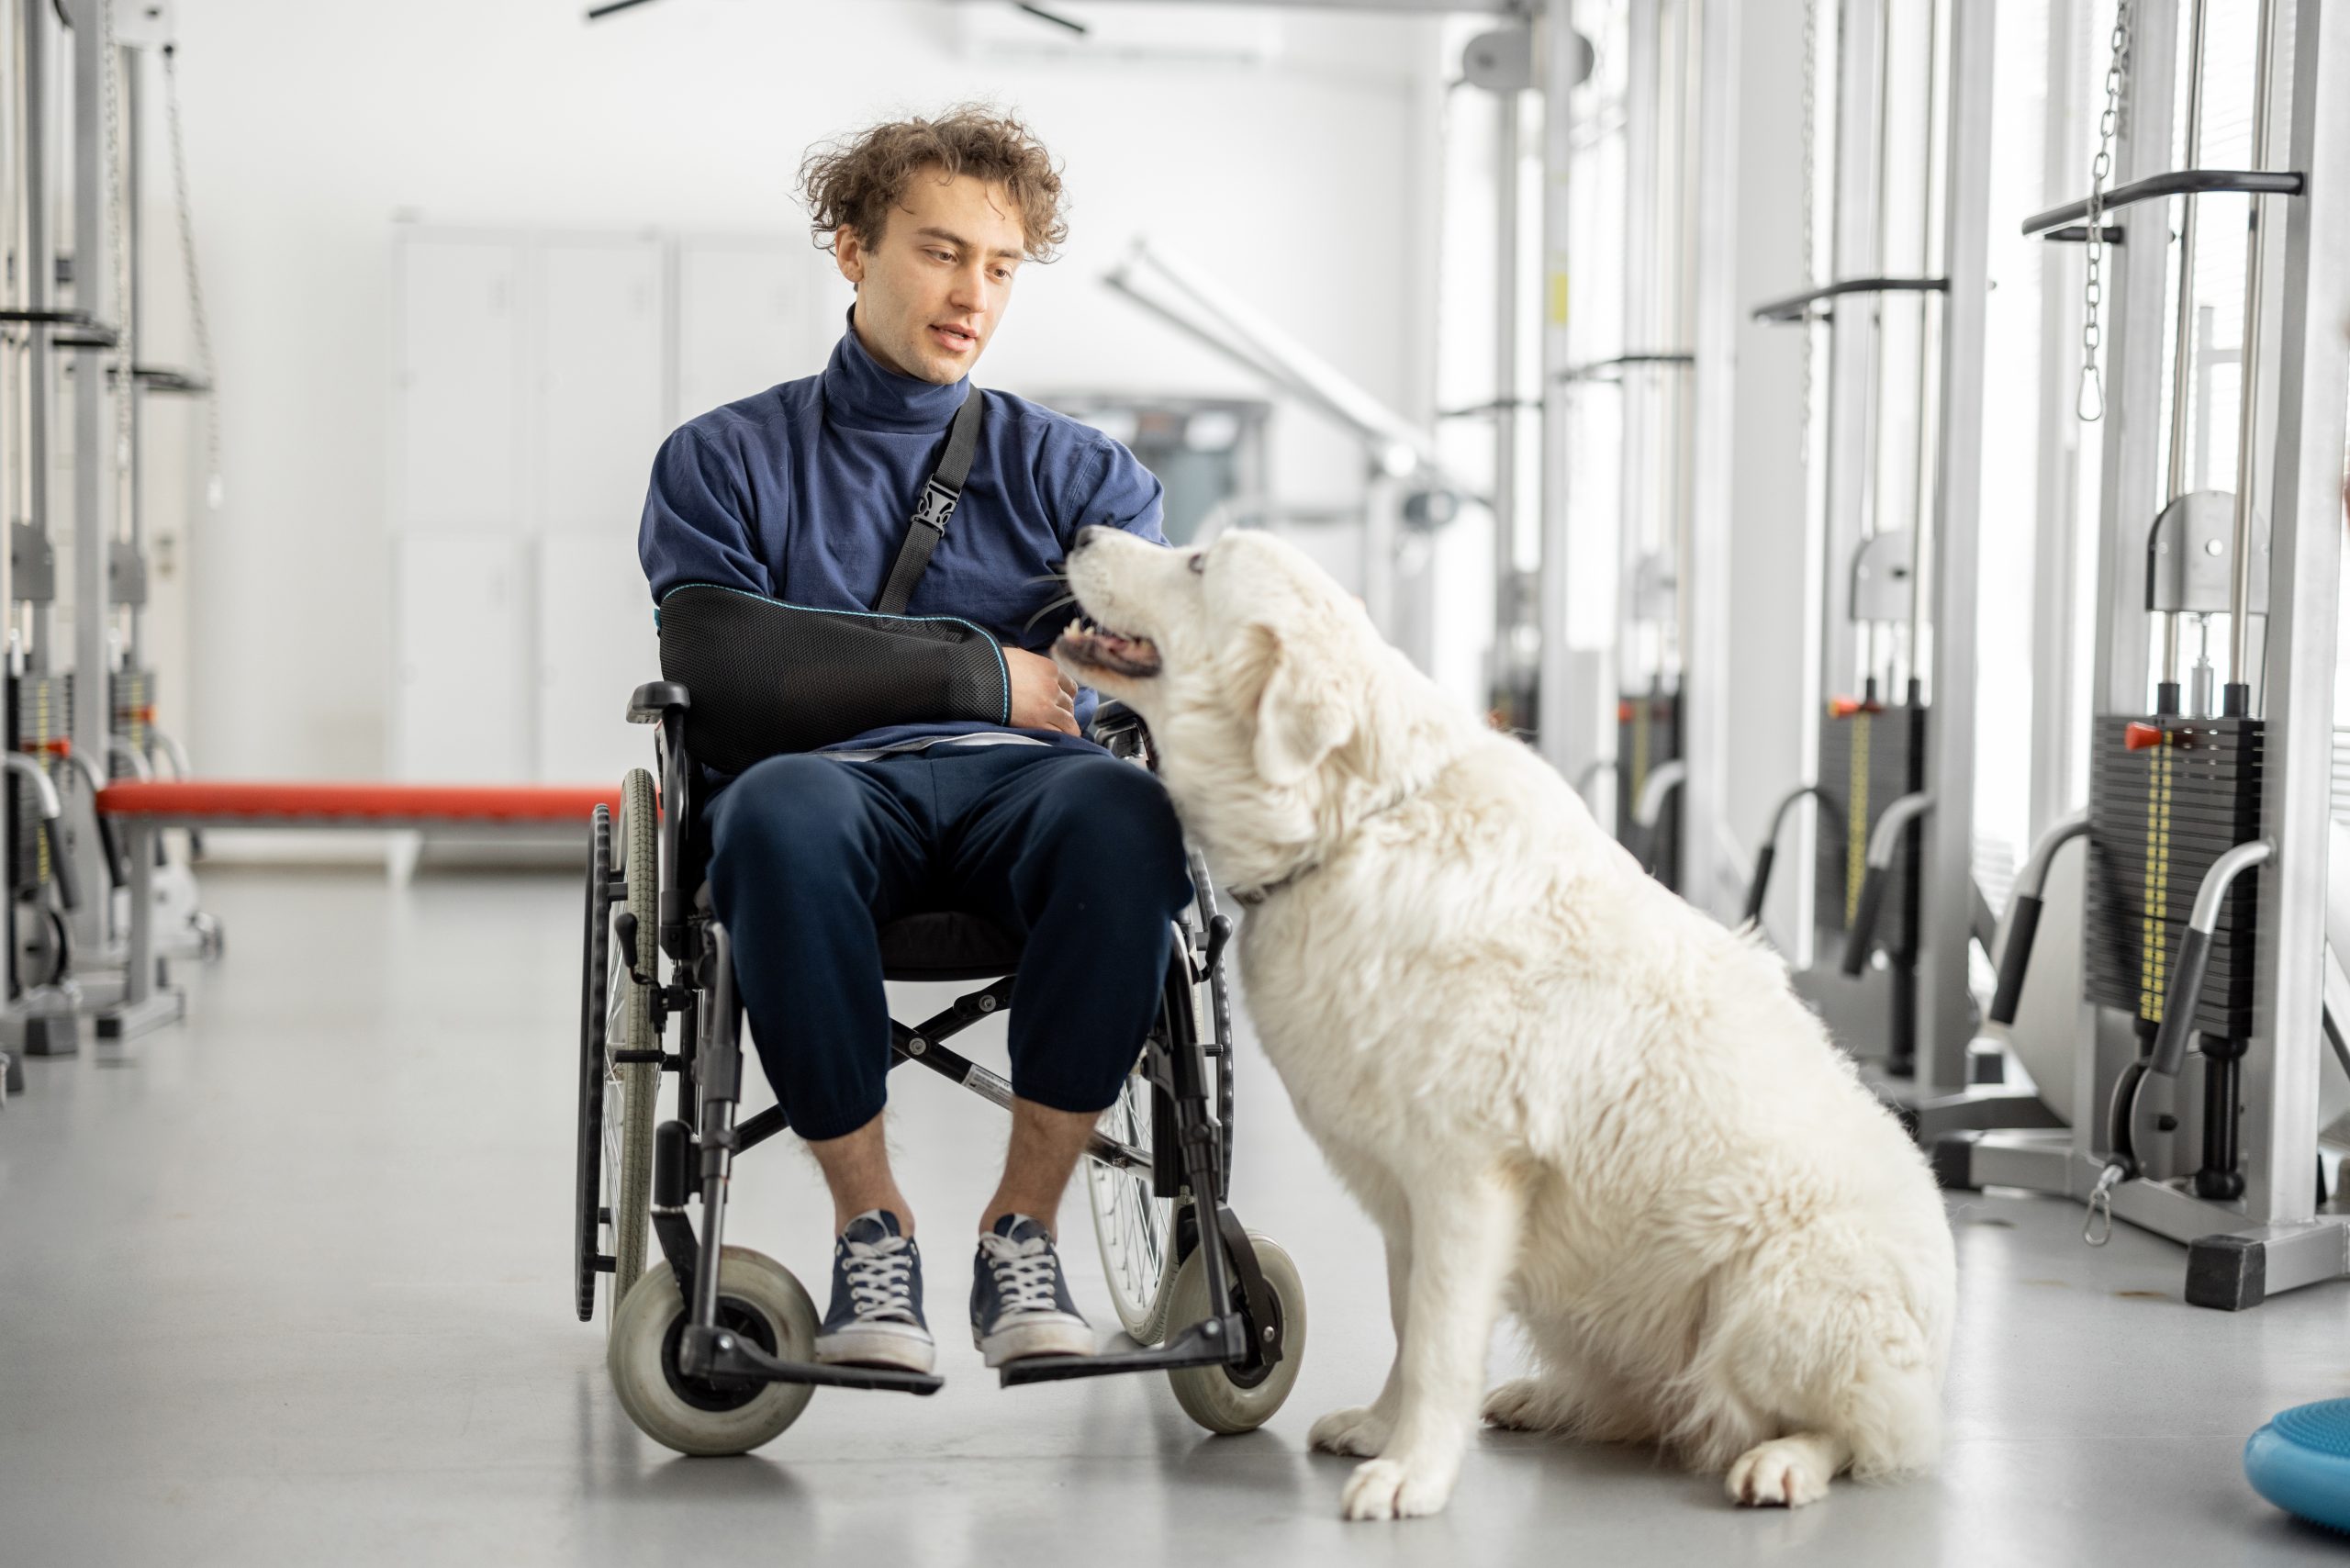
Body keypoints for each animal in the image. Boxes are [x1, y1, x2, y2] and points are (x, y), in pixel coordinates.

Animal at [1058, 524, 1954, 1523]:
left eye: (1200, 565)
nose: (1083, 531)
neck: (1353, 824)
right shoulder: (1404, 1192)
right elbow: (1409, 1323)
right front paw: (1381, 1428)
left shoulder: (1465, 1179)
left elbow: (1441, 1337)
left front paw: (1411, 1474)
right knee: (1656, 1408)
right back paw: (1544, 1400)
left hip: (1772, 1295)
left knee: (1858, 1429)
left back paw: (1783, 1461)